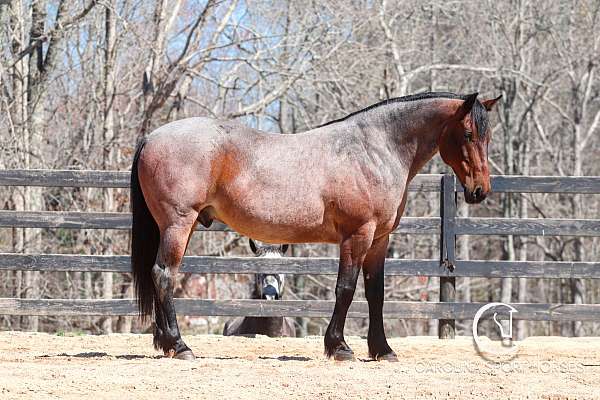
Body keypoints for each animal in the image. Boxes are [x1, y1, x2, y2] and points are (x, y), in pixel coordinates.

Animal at [131, 90, 502, 362]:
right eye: (468, 133)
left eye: (488, 137)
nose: (480, 191)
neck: (374, 150)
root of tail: (151, 137)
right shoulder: (358, 234)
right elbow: (346, 289)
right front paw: (339, 347)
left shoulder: (379, 239)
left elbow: (376, 293)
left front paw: (382, 350)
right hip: (178, 224)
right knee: (164, 274)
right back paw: (179, 345)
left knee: (160, 274)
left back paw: (165, 343)